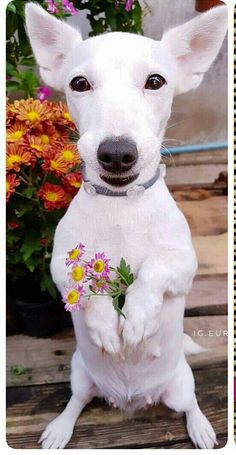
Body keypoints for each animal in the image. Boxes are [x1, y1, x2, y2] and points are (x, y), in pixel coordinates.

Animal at [25, 3, 227, 450]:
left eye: (156, 81)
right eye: (79, 83)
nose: (117, 153)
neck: (121, 207)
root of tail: (131, 401)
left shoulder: (184, 264)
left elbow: (155, 269)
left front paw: (135, 316)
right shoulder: (58, 265)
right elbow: (80, 281)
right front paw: (104, 321)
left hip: (181, 385)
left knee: (190, 405)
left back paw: (202, 427)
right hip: (79, 375)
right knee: (76, 402)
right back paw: (60, 428)